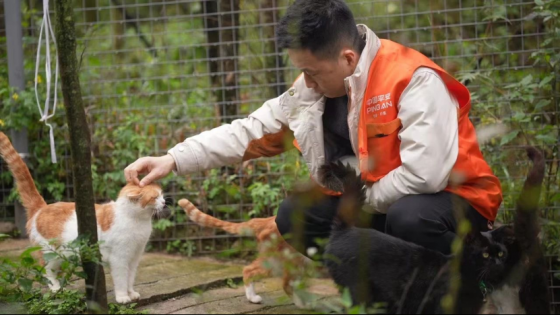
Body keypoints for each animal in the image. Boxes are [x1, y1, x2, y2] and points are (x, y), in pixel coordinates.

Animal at [0, 132, 171, 304]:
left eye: (161, 195)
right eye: (154, 197)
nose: (164, 202)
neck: (137, 220)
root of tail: (42, 207)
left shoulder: (134, 257)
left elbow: (130, 278)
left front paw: (132, 293)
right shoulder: (119, 258)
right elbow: (122, 279)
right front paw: (123, 297)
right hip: (51, 253)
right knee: (47, 271)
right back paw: (55, 288)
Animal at [322, 148, 548, 314]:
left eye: (501, 253)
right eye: (485, 254)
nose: (498, 262)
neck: (467, 274)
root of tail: (345, 229)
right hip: (360, 292)